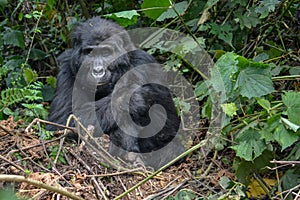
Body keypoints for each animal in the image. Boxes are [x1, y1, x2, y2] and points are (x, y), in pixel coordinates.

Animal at [46, 17, 185, 169]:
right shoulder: (66, 65)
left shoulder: (145, 62)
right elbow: (61, 120)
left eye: (106, 52)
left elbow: (168, 125)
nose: (97, 70)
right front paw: (130, 98)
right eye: (90, 53)